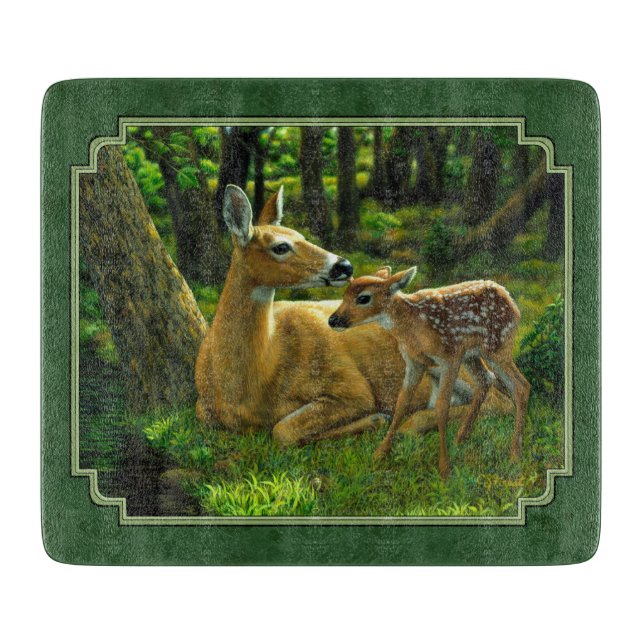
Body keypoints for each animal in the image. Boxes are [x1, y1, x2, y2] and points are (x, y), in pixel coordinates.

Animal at [196, 186, 508, 447]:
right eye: (281, 246)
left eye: (302, 236)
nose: (344, 265)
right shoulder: (202, 409)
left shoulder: (351, 386)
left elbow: (282, 430)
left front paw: (375, 419)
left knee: (495, 399)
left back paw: (409, 422)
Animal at [328, 266, 530, 478]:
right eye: (344, 295)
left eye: (363, 298)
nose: (333, 320)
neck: (412, 326)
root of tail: (510, 300)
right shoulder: (414, 362)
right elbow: (401, 404)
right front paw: (380, 452)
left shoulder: (449, 357)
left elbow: (441, 407)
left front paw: (444, 467)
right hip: (473, 354)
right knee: (486, 380)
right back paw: (461, 438)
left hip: (498, 345)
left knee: (521, 386)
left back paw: (515, 455)